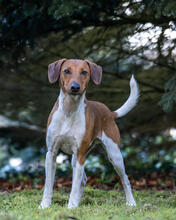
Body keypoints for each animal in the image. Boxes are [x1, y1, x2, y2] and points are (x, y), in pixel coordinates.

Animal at [39, 58, 140, 210]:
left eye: (84, 72)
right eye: (66, 71)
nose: (75, 87)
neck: (69, 111)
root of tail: (110, 113)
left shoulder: (80, 154)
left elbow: (74, 185)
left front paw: (71, 206)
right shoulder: (51, 153)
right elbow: (48, 184)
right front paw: (45, 205)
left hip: (114, 154)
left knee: (125, 179)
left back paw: (131, 202)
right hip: (75, 158)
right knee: (84, 179)